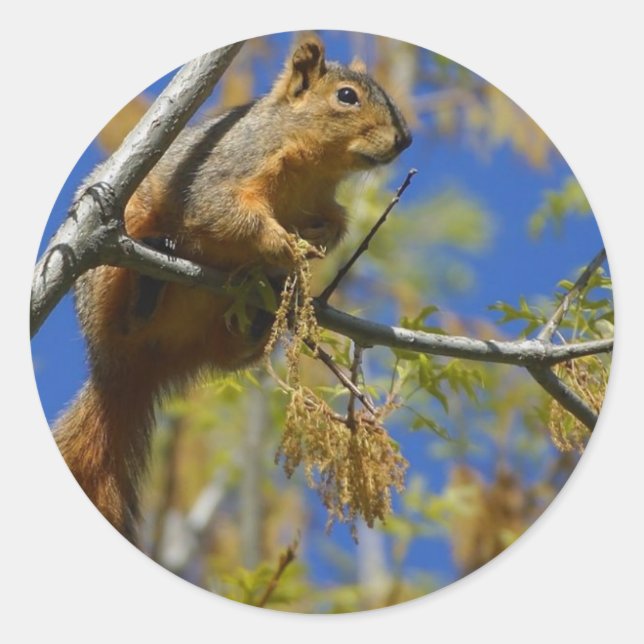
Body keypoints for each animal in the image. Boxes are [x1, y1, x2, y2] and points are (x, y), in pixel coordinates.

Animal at [52, 33, 412, 541]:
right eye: (347, 96)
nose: (405, 139)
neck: (312, 165)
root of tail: (121, 370)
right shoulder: (224, 168)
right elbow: (224, 212)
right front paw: (285, 245)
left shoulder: (325, 201)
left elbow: (337, 223)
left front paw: (315, 244)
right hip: (109, 260)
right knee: (123, 316)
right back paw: (145, 287)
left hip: (221, 342)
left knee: (234, 348)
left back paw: (259, 317)